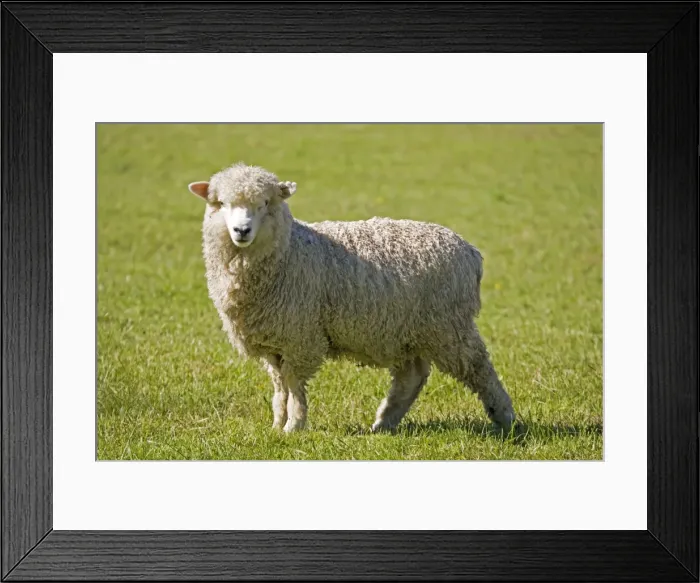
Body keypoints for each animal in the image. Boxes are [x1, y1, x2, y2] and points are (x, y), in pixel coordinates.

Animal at [188, 162, 516, 434]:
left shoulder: (300, 338)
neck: (288, 251)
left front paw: (294, 426)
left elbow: (294, 385)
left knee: (480, 369)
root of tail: (470, 252)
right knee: (412, 377)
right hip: (408, 329)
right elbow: (280, 386)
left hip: (448, 326)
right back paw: (384, 422)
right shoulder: (274, 341)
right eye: (221, 204)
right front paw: (277, 424)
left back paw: (507, 419)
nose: (241, 230)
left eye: (265, 203)